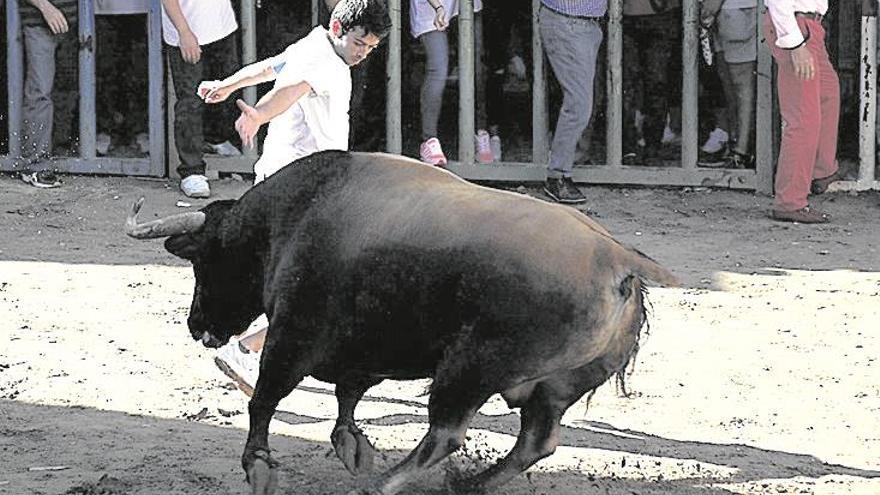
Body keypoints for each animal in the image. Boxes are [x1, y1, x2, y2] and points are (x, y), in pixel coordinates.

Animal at [124, 151, 676, 495]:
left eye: (203, 261)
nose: (196, 325)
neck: (293, 215)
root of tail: (619, 262)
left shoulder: (293, 339)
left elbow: (264, 401)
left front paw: (259, 467)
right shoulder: (362, 354)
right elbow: (347, 398)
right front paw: (351, 445)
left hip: (469, 371)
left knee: (447, 433)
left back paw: (380, 485)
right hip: (551, 389)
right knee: (536, 442)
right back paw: (466, 485)